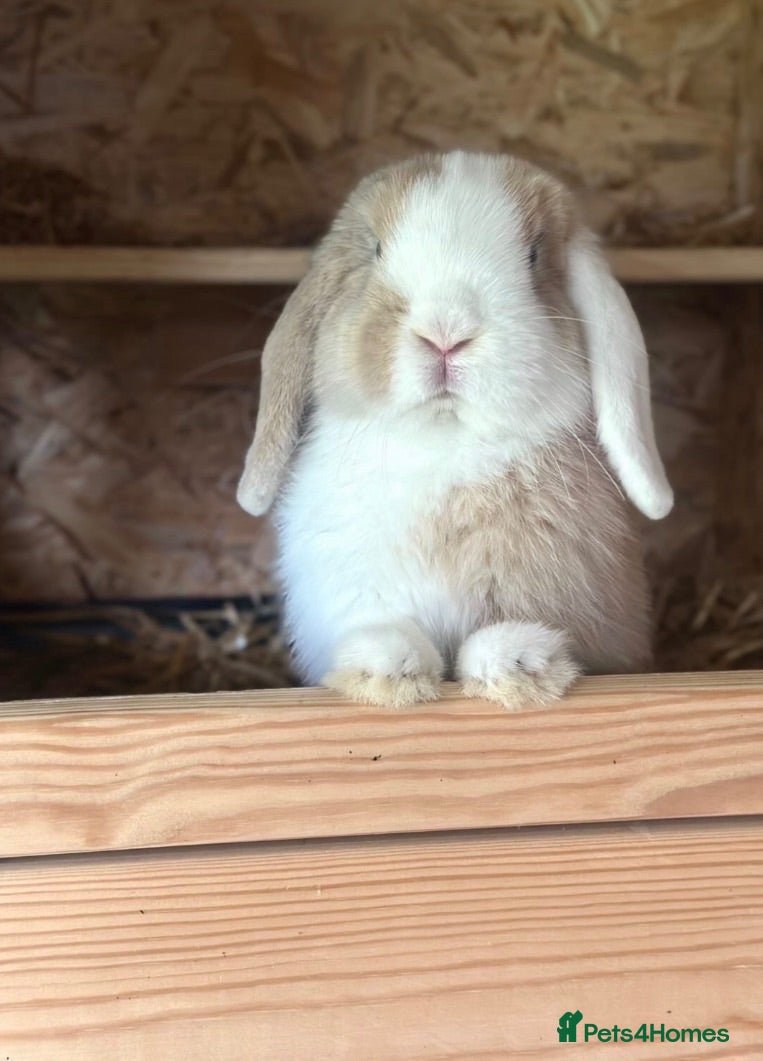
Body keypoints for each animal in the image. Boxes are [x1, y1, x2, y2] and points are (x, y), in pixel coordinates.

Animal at [237, 151, 673, 709]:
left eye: (534, 256)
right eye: (375, 249)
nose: (445, 332)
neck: (442, 444)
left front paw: (517, 664)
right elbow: (387, 629)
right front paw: (387, 669)